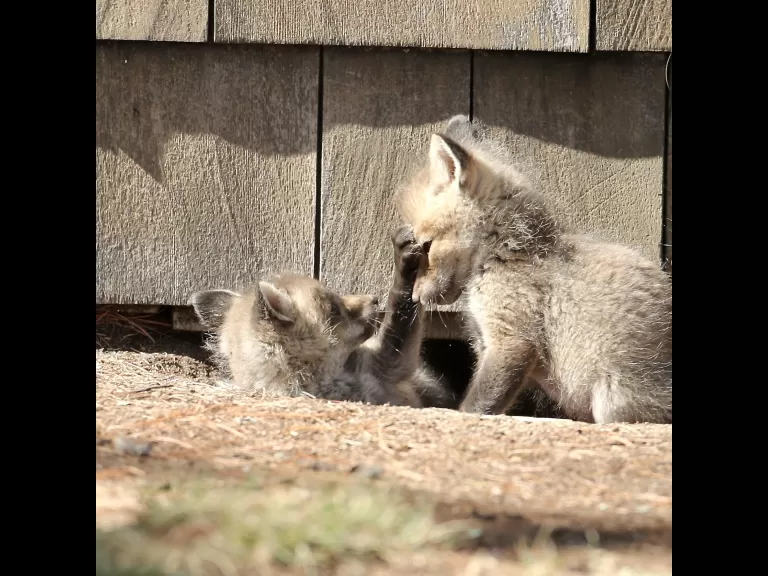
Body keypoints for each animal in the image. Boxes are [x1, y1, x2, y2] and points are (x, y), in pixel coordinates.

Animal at [396, 115, 672, 424]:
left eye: (427, 246)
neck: (505, 252)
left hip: (612, 397)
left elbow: (478, 404)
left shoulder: (512, 339)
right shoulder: (486, 341)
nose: (416, 297)